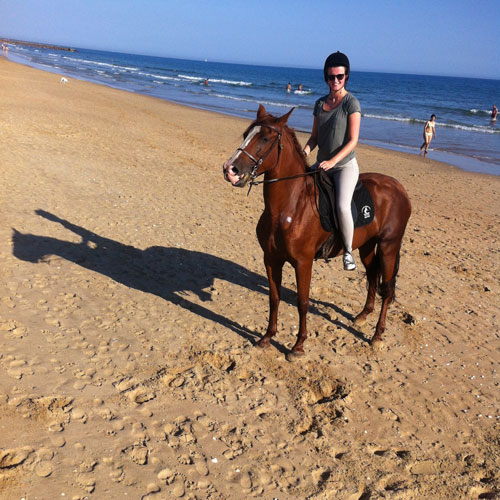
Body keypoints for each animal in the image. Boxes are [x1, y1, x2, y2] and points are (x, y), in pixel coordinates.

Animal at [223, 105, 411, 359]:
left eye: (264, 138)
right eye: (246, 135)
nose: (230, 170)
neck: (289, 207)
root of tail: (399, 188)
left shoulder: (303, 262)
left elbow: (302, 301)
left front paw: (298, 346)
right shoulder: (271, 259)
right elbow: (274, 297)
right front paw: (267, 337)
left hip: (388, 246)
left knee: (387, 289)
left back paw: (377, 335)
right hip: (366, 246)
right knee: (373, 275)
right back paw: (363, 316)